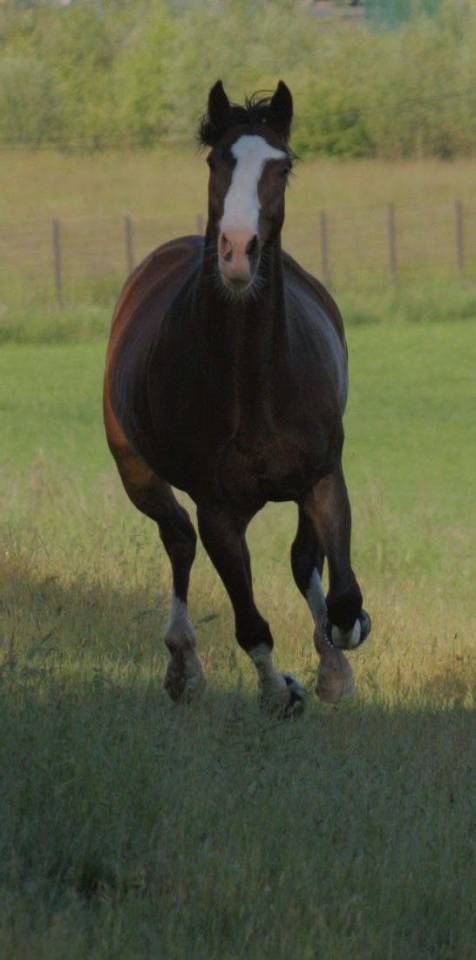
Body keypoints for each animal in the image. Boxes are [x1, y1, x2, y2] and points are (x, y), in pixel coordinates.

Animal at [103, 80, 371, 717]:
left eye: (284, 165)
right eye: (215, 162)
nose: (237, 251)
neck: (256, 386)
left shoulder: (323, 475)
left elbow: (340, 593)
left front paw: (338, 657)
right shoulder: (219, 511)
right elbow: (251, 624)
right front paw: (281, 691)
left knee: (302, 560)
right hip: (138, 474)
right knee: (177, 540)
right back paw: (184, 667)